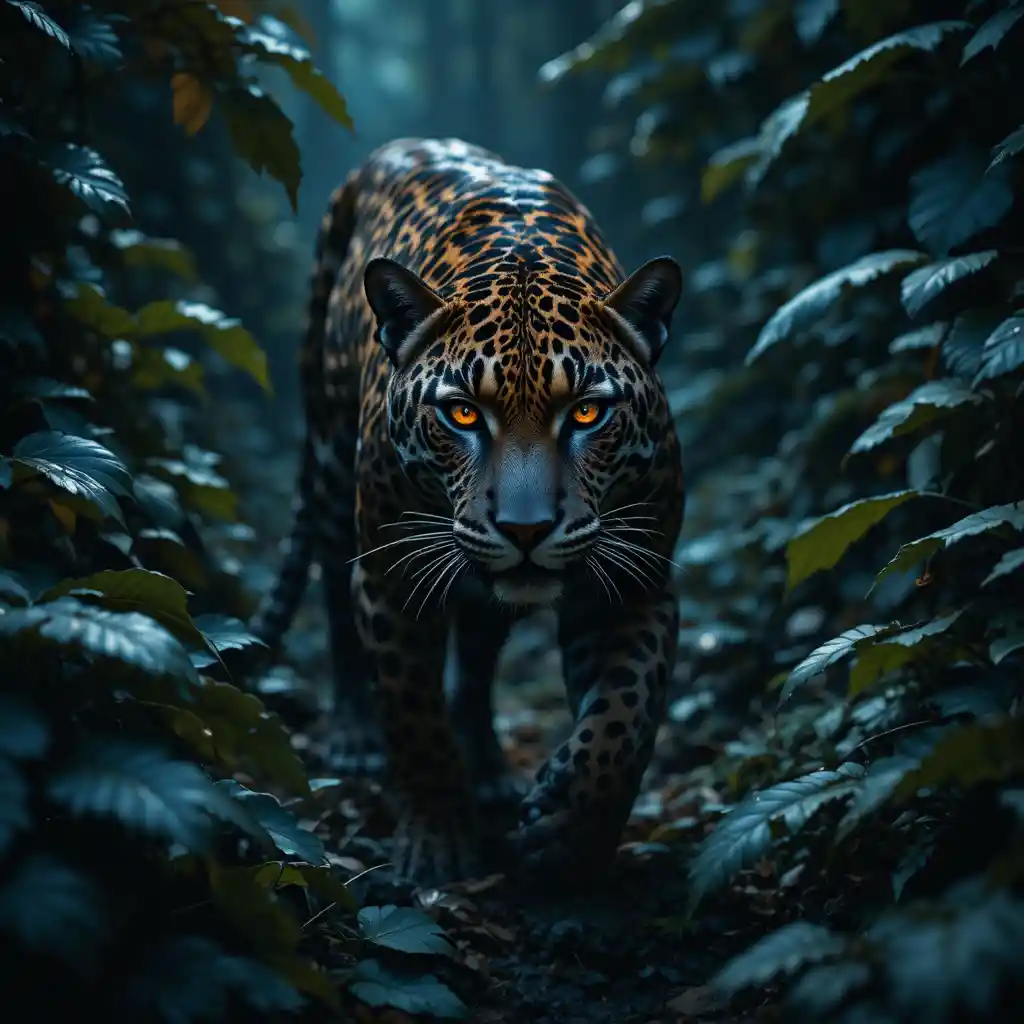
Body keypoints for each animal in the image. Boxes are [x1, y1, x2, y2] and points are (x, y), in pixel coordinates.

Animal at [251, 137, 686, 887]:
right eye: (461, 414)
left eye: (587, 413)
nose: (526, 531)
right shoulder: (391, 581)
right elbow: (415, 719)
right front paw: (436, 846)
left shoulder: (638, 583)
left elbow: (626, 718)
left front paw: (570, 830)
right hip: (333, 471)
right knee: (335, 595)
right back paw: (356, 735)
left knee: (479, 658)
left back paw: (488, 769)